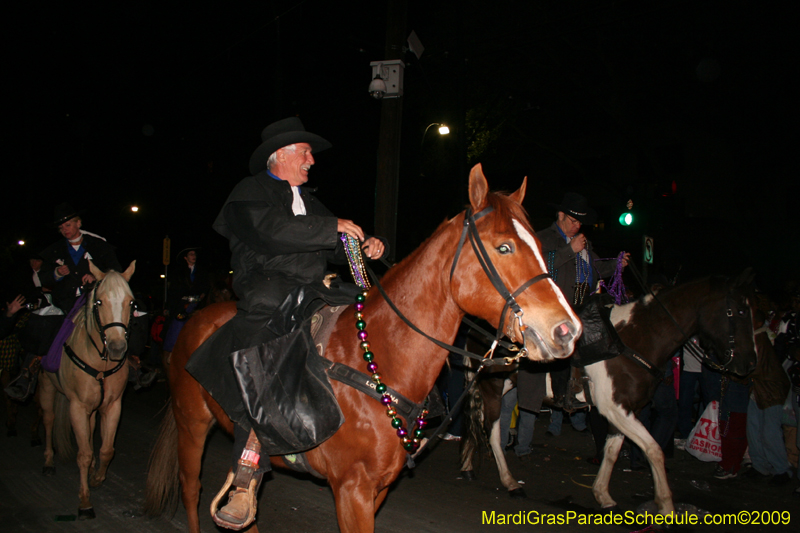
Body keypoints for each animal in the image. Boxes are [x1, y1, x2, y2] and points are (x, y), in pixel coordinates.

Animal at [37, 260, 136, 516]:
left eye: (131, 302)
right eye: (99, 302)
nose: (117, 348)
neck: (100, 362)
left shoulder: (112, 406)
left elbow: (106, 449)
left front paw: (97, 478)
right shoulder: (77, 407)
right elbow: (82, 454)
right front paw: (84, 500)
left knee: (90, 431)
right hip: (47, 388)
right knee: (49, 420)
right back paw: (48, 462)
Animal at [145, 165, 580, 532]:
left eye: (538, 243)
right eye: (504, 247)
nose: (566, 330)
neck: (379, 359)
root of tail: (194, 320)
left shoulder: (377, 489)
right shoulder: (351, 489)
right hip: (191, 425)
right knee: (192, 490)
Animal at [460, 272, 760, 516]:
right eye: (739, 312)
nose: (750, 364)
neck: (633, 339)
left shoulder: (626, 410)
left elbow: (613, 450)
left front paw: (602, 494)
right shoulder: (616, 408)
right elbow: (654, 450)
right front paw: (666, 505)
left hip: (499, 385)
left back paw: (468, 467)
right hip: (492, 386)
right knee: (492, 431)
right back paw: (510, 482)